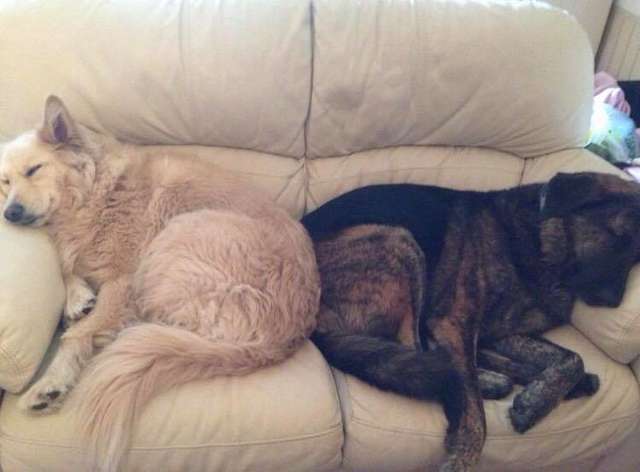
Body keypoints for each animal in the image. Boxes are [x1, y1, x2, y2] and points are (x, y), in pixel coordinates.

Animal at [302, 173, 640, 472]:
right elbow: (475, 416)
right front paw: (461, 459)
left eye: (636, 258)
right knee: (421, 357)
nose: (613, 303)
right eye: (616, 236)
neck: (538, 243)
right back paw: (491, 382)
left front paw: (538, 397)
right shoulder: (454, 320)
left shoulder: (502, 331)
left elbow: (573, 357)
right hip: (399, 241)